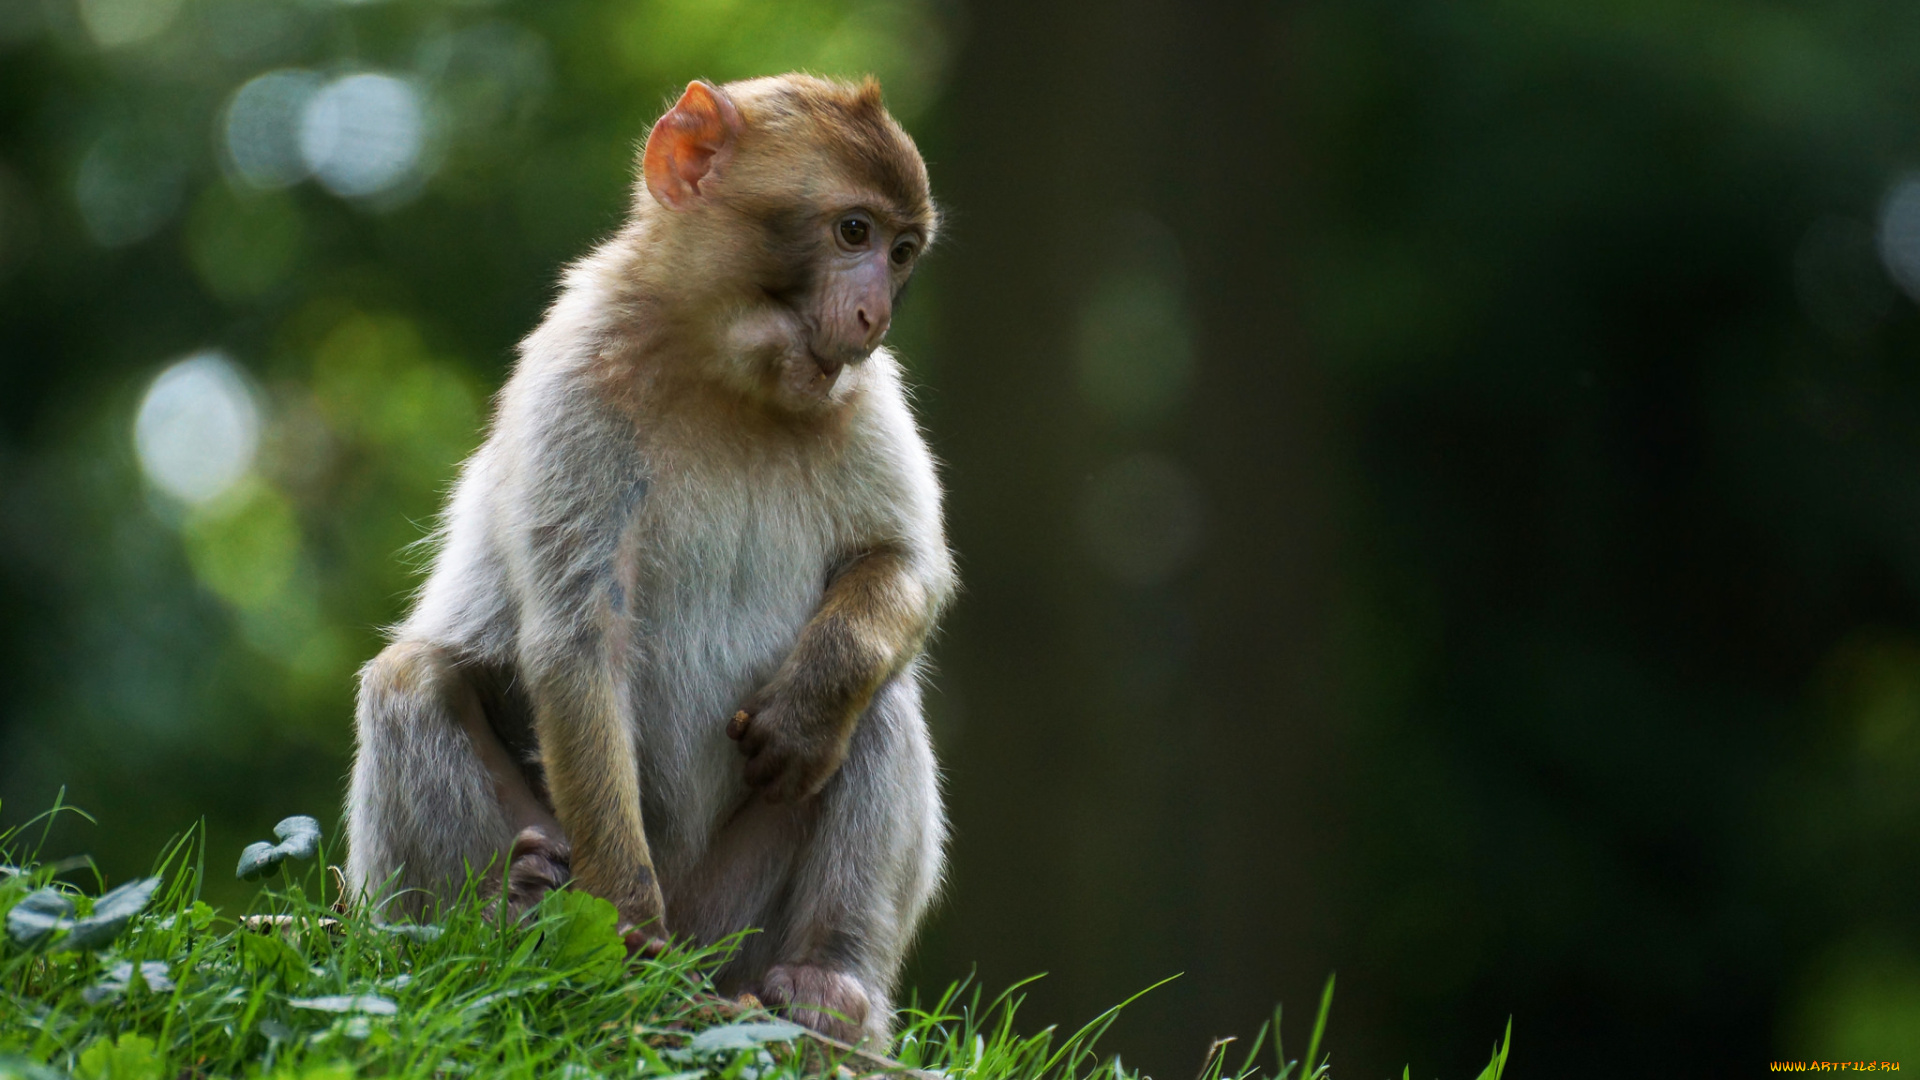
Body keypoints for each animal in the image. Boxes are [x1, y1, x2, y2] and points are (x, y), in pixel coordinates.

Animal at [341, 71, 956, 1037]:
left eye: (902, 251)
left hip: (738, 920)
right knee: (410, 682)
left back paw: (828, 982)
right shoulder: (574, 381)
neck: (725, 374)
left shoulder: (867, 392)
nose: (874, 314)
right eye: (852, 232)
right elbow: (578, 634)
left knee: (880, 702)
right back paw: (511, 914)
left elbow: (903, 564)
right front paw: (620, 922)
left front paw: (809, 705)